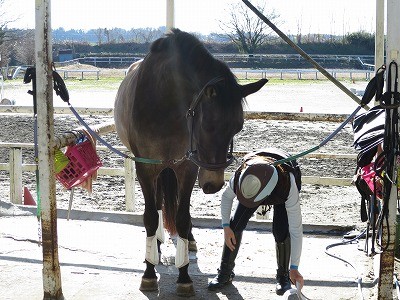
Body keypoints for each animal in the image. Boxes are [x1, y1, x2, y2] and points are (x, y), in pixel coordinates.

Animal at [114, 28, 268, 296]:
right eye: (208, 125)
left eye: (238, 127)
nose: (214, 184)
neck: (164, 103)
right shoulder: (145, 167)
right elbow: (150, 217)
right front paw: (149, 272)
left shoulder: (188, 167)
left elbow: (183, 218)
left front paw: (184, 275)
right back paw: (156, 244)